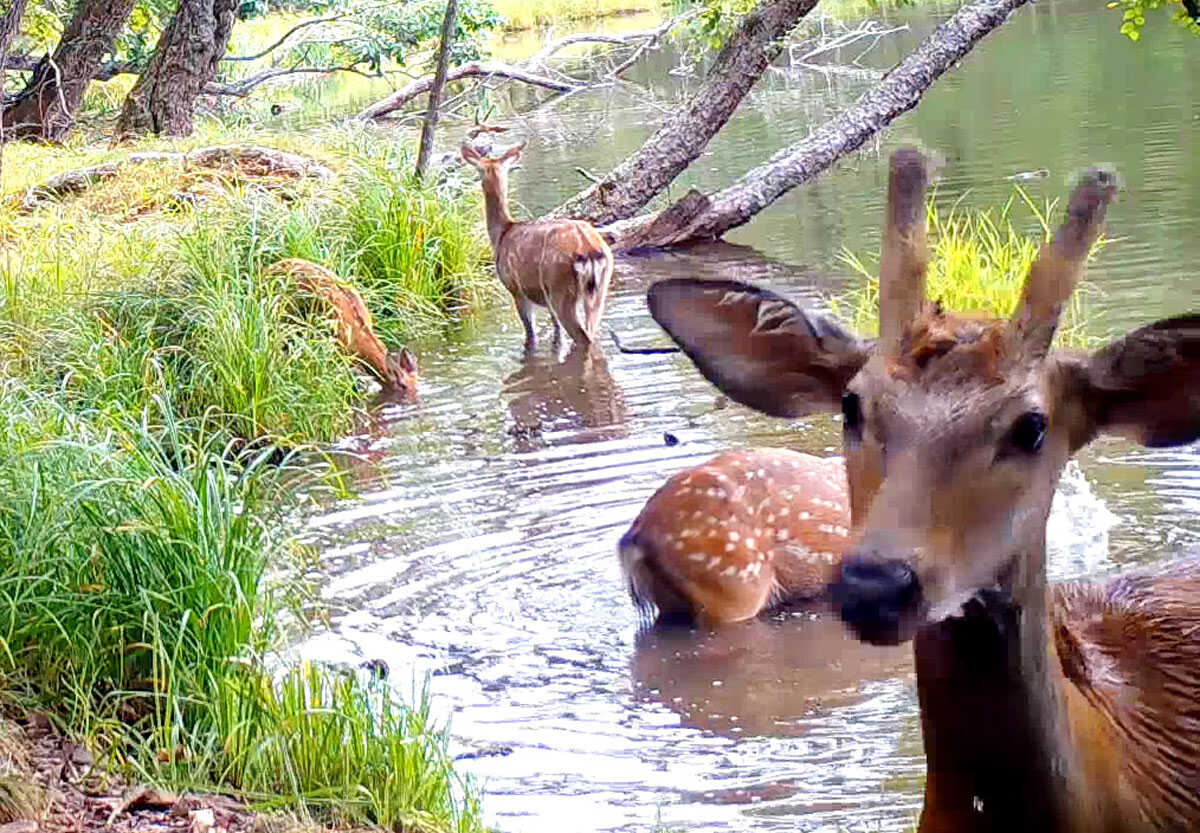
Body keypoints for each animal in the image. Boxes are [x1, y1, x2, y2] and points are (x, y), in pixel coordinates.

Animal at [456, 139, 614, 352]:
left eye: (478, 170)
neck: (502, 234)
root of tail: (588, 248)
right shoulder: (546, 300)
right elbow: (556, 332)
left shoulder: (515, 289)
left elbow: (531, 335)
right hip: (599, 288)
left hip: (560, 287)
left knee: (584, 337)